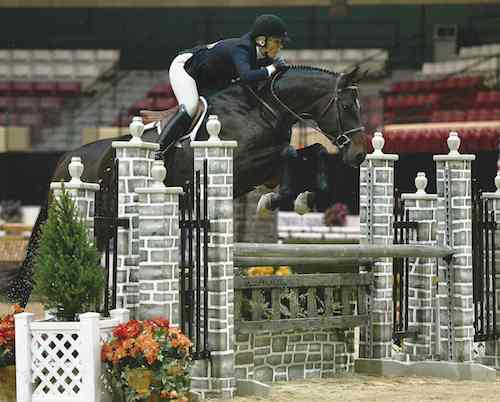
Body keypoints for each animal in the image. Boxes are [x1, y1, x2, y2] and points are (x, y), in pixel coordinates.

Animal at [6, 66, 368, 304]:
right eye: (346, 107)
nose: (360, 154)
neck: (265, 108)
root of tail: (70, 156)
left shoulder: (264, 171)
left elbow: (312, 151)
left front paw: (302, 199)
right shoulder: (245, 165)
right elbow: (289, 154)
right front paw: (277, 200)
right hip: (93, 222)